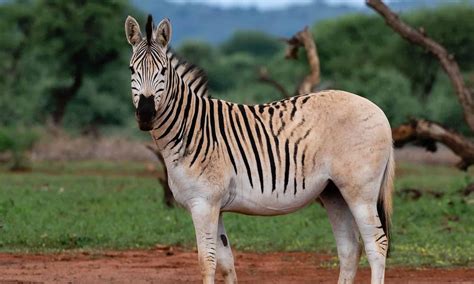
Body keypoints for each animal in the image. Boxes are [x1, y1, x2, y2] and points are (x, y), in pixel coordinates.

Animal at [124, 15, 394, 284]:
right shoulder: (216, 207)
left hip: (360, 191)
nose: (145, 115)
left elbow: (207, 262)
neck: (191, 129)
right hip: (334, 192)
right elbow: (226, 263)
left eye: (163, 71)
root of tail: (379, 110)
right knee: (350, 249)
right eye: (131, 70)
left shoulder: (203, 203)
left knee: (376, 244)